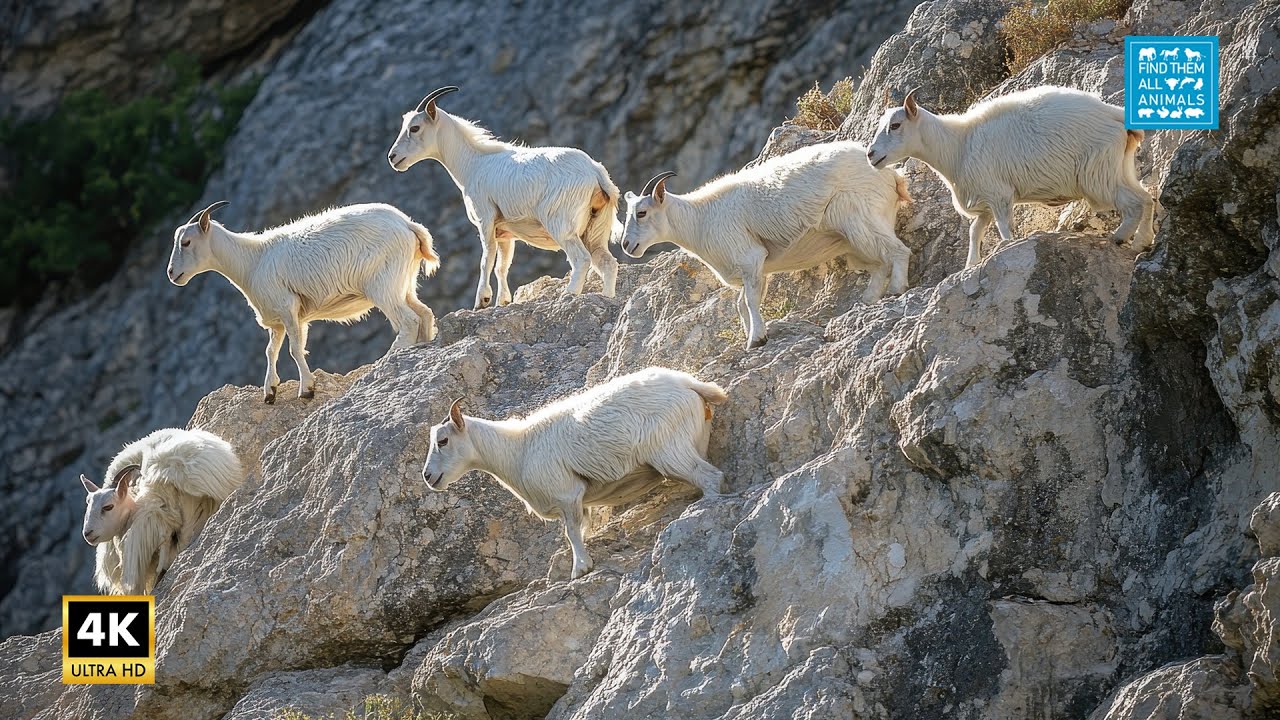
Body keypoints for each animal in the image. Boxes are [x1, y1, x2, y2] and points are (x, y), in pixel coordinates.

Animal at [168, 201, 440, 402]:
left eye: (186, 242)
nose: (171, 274)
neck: (252, 260)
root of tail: (407, 224)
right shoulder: (278, 319)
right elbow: (271, 351)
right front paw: (270, 392)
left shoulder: (288, 308)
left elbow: (294, 349)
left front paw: (307, 389)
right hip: (403, 283)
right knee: (424, 313)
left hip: (383, 284)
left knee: (408, 320)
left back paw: (390, 357)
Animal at [387, 86, 621, 309]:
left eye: (415, 127)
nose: (393, 157)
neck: (474, 163)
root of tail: (595, 171)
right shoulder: (505, 233)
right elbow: (502, 266)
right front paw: (502, 301)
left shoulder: (485, 219)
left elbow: (486, 259)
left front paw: (481, 301)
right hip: (595, 229)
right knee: (607, 262)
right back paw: (606, 296)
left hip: (562, 224)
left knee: (581, 259)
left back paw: (569, 294)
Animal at [421, 368, 727, 579]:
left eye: (443, 441)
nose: (427, 476)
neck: (518, 450)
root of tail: (688, 383)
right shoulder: (580, 500)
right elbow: (582, 528)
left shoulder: (567, 493)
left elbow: (570, 533)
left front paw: (580, 568)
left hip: (670, 449)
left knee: (711, 477)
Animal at [619, 142, 910, 349]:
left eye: (641, 213)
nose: (627, 245)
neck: (701, 218)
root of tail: (892, 176)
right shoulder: (757, 269)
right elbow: (742, 304)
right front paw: (754, 336)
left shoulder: (750, 258)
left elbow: (748, 301)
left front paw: (756, 339)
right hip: (858, 239)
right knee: (880, 264)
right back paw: (869, 299)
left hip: (862, 221)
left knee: (899, 252)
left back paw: (897, 289)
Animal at [867, 86, 1155, 267]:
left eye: (895, 125)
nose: (871, 154)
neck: (958, 145)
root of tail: (1114, 114)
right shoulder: (985, 201)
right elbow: (975, 231)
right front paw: (971, 263)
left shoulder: (999, 195)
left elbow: (1004, 230)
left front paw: (1003, 250)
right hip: (1119, 168)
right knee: (1147, 198)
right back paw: (1142, 242)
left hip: (1097, 175)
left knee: (1133, 204)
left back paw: (1120, 238)